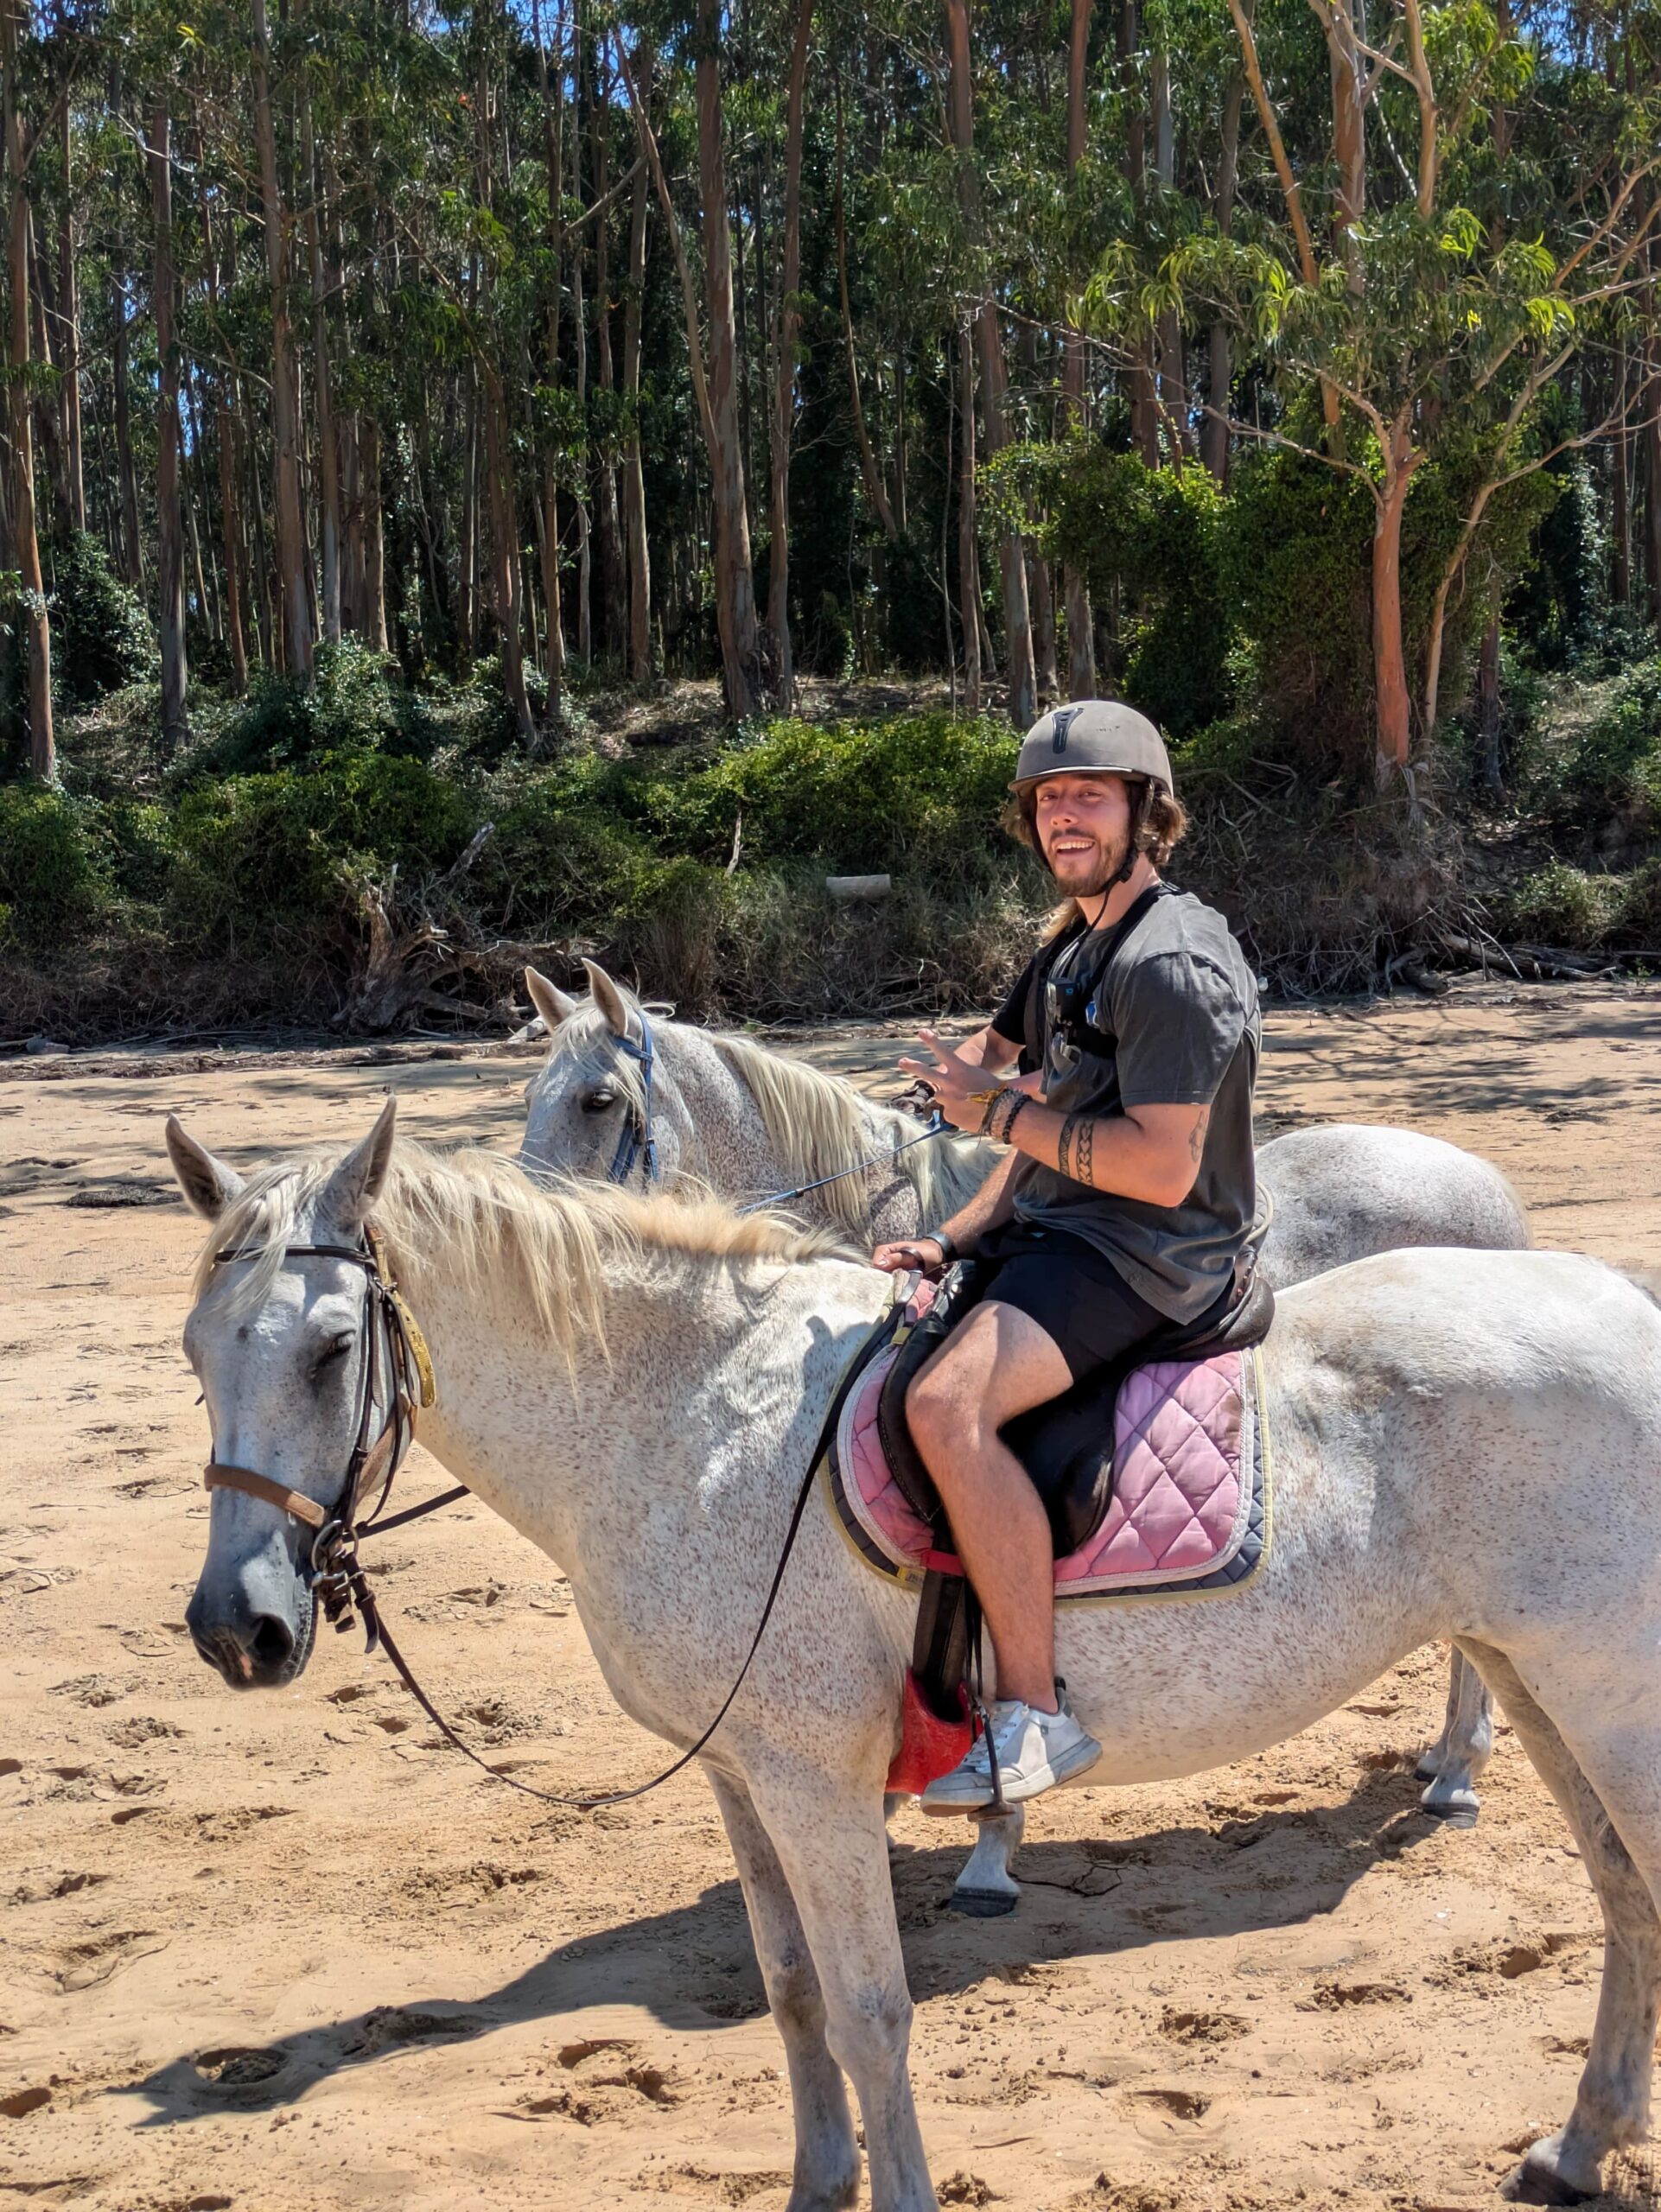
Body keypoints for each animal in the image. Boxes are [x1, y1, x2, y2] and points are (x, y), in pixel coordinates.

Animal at [170, 1102, 1661, 2212]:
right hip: (1536, 1680)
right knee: (1621, 1898)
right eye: (196, 1351)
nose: (238, 1630)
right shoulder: (743, 1778)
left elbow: (869, 2006)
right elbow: (789, 1993)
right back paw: (1578, 2147)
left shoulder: (817, 1784)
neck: (691, 1411)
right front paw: (816, 2181)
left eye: (331, 1349)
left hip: (1605, 1698)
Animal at [518, 960, 1528, 1850]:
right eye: (533, 1092)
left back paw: (1455, 1770)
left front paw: (991, 1837)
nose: (536, 1210)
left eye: (597, 1100)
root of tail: (1484, 1184)